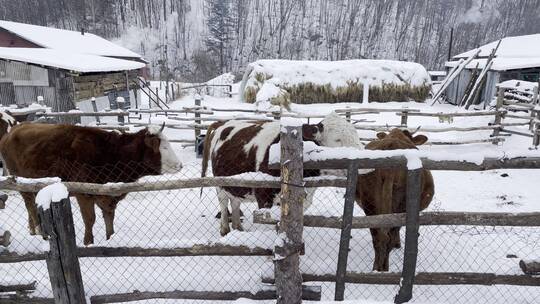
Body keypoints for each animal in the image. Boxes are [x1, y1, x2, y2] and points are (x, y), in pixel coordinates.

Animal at [0, 123, 182, 245]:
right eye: (164, 147)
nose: (180, 165)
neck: (110, 153)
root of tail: (13, 130)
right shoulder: (83, 193)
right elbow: (90, 220)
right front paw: (88, 243)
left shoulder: (106, 195)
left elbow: (109, 217)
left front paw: (110, 238)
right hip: (22, 184)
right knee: (30, 205)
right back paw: (40, 232)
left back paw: (33, 230)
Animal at [202, 113, 362, 236]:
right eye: (337, 139)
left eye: (356, 135)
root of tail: (223, 123)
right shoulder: (264, 198)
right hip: (220, 184)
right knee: (224, 205)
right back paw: (225, 230)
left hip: (236, 184)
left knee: (235, 203)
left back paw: (238, 229)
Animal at [354, 127, 434, 270]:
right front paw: (398, 244)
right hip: (401, 208)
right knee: (388, 237)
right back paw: (384, 268)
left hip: (370, 206)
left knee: (378, 237)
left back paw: (376, 268)